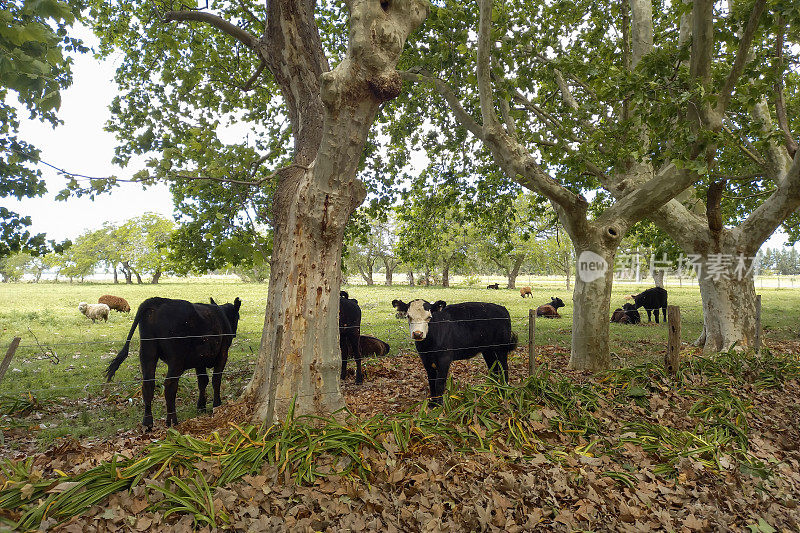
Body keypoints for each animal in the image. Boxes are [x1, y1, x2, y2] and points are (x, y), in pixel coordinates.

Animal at [104, 296, 241, 428]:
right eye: (238, 317)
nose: (234, 334)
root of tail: (158, 300)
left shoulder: (200, 360)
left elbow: (203, 381)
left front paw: (201, 406)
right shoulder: (223, 353)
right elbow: (216, 380)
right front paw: (217, 404)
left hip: (147, 352)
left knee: (148, 384)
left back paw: (147, 422)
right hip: (176, 360)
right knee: (170, 385)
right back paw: (172, 420)